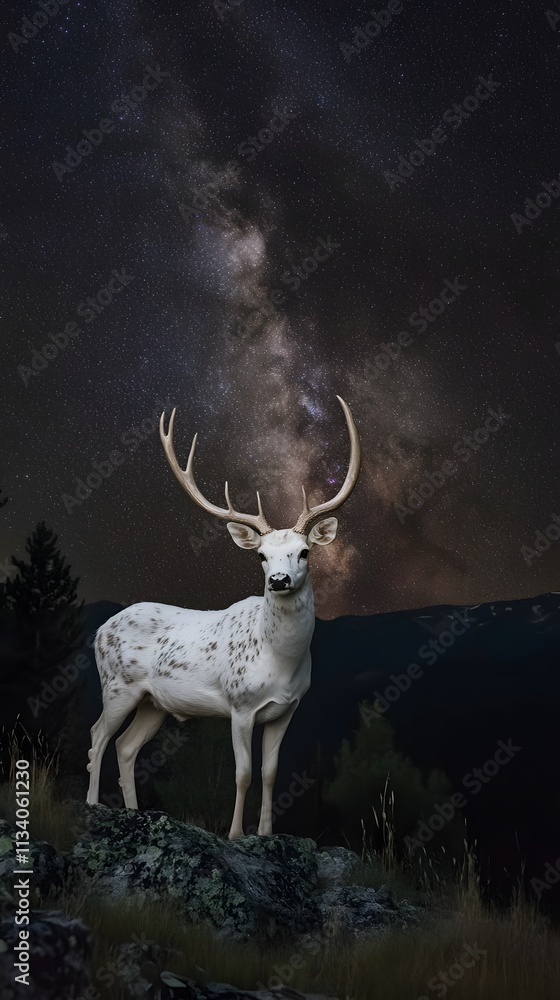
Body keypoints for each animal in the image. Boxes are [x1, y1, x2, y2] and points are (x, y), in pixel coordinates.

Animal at [86, 395, 361, 838]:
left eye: (304, 552)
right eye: (261, 556)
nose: (279, 580)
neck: (280, 660)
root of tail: (98, 631)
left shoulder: (288, 710)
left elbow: (270, 773)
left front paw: (265, 833)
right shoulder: (240, 704)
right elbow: (243, 773)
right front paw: (234, 834)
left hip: (153, 702)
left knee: (126, 747)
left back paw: (134, 812)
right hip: (116, 685)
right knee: (98, 736)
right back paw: (94, 805)